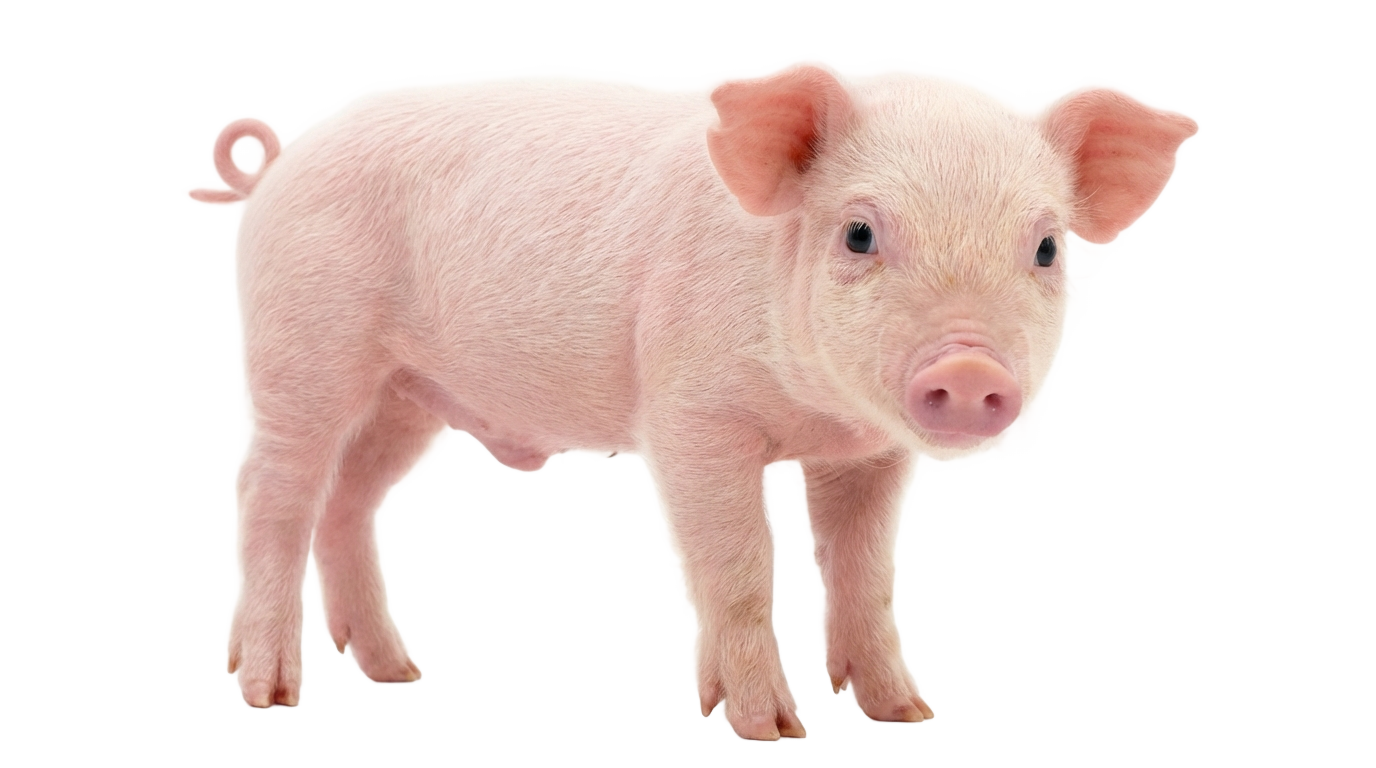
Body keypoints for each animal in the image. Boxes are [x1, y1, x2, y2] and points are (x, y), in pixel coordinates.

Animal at [213, 65, 1192, 740]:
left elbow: (866, 574)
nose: (969, 365)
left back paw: (395, 673)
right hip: (301, 347)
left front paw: (903, 715)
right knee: (271, 495)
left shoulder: (868, 453)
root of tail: (279, 167)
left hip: (404, 393)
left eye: (1047, 248)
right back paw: (269, 693)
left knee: (346, 503)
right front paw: (770, 730)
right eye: (860, 233)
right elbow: (738, 569)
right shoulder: (691, 417)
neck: (811, 417)